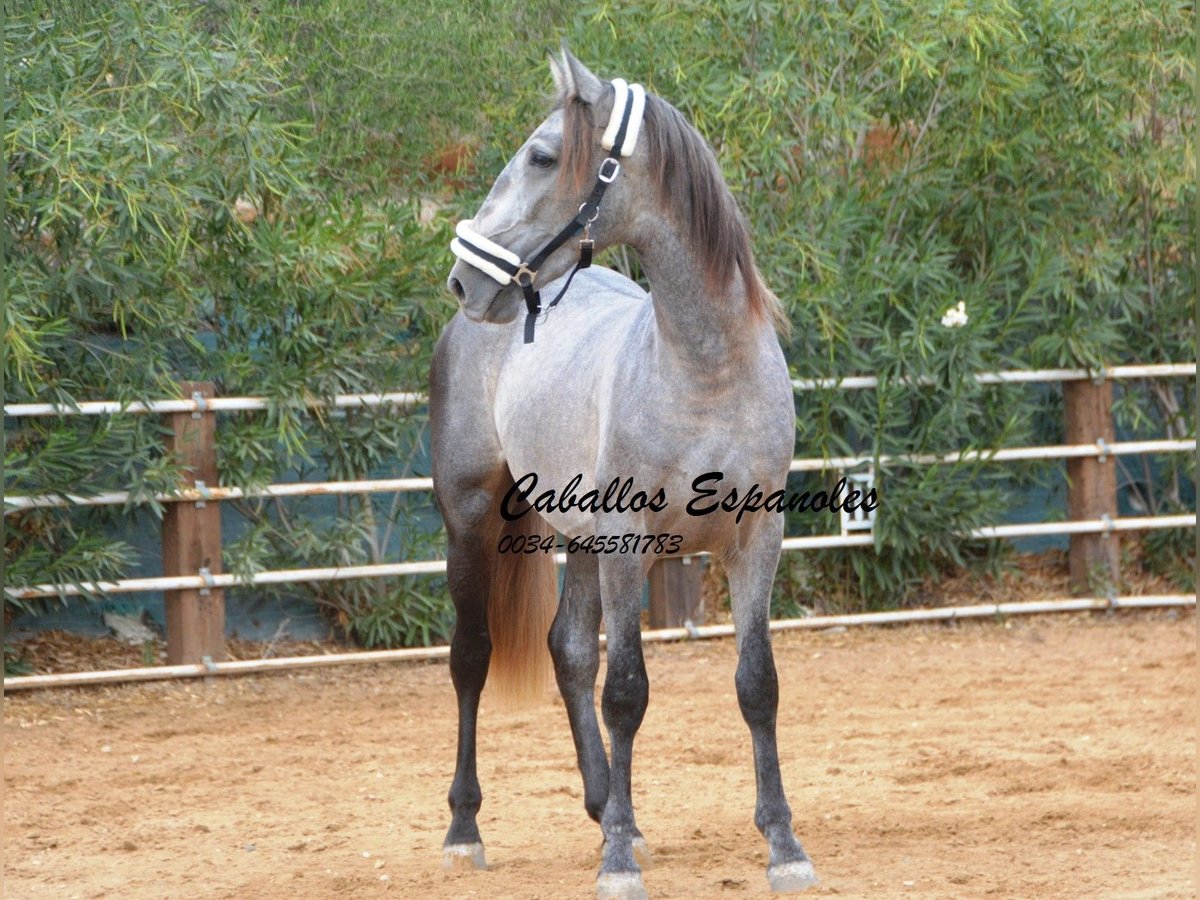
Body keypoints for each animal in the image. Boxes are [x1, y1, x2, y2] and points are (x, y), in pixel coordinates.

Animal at [429, 51, 816, 900]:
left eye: (543, 156)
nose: (466, 280)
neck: (704, 370)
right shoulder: (628, 543)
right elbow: (628, 692)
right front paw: (617, 865)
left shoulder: (755, 542)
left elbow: (758, 684)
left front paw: (782, 844)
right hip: (472, 519)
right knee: (471, 658)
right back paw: (466, 830)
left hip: (577, 541)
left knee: (568, 649)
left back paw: (612, 810)